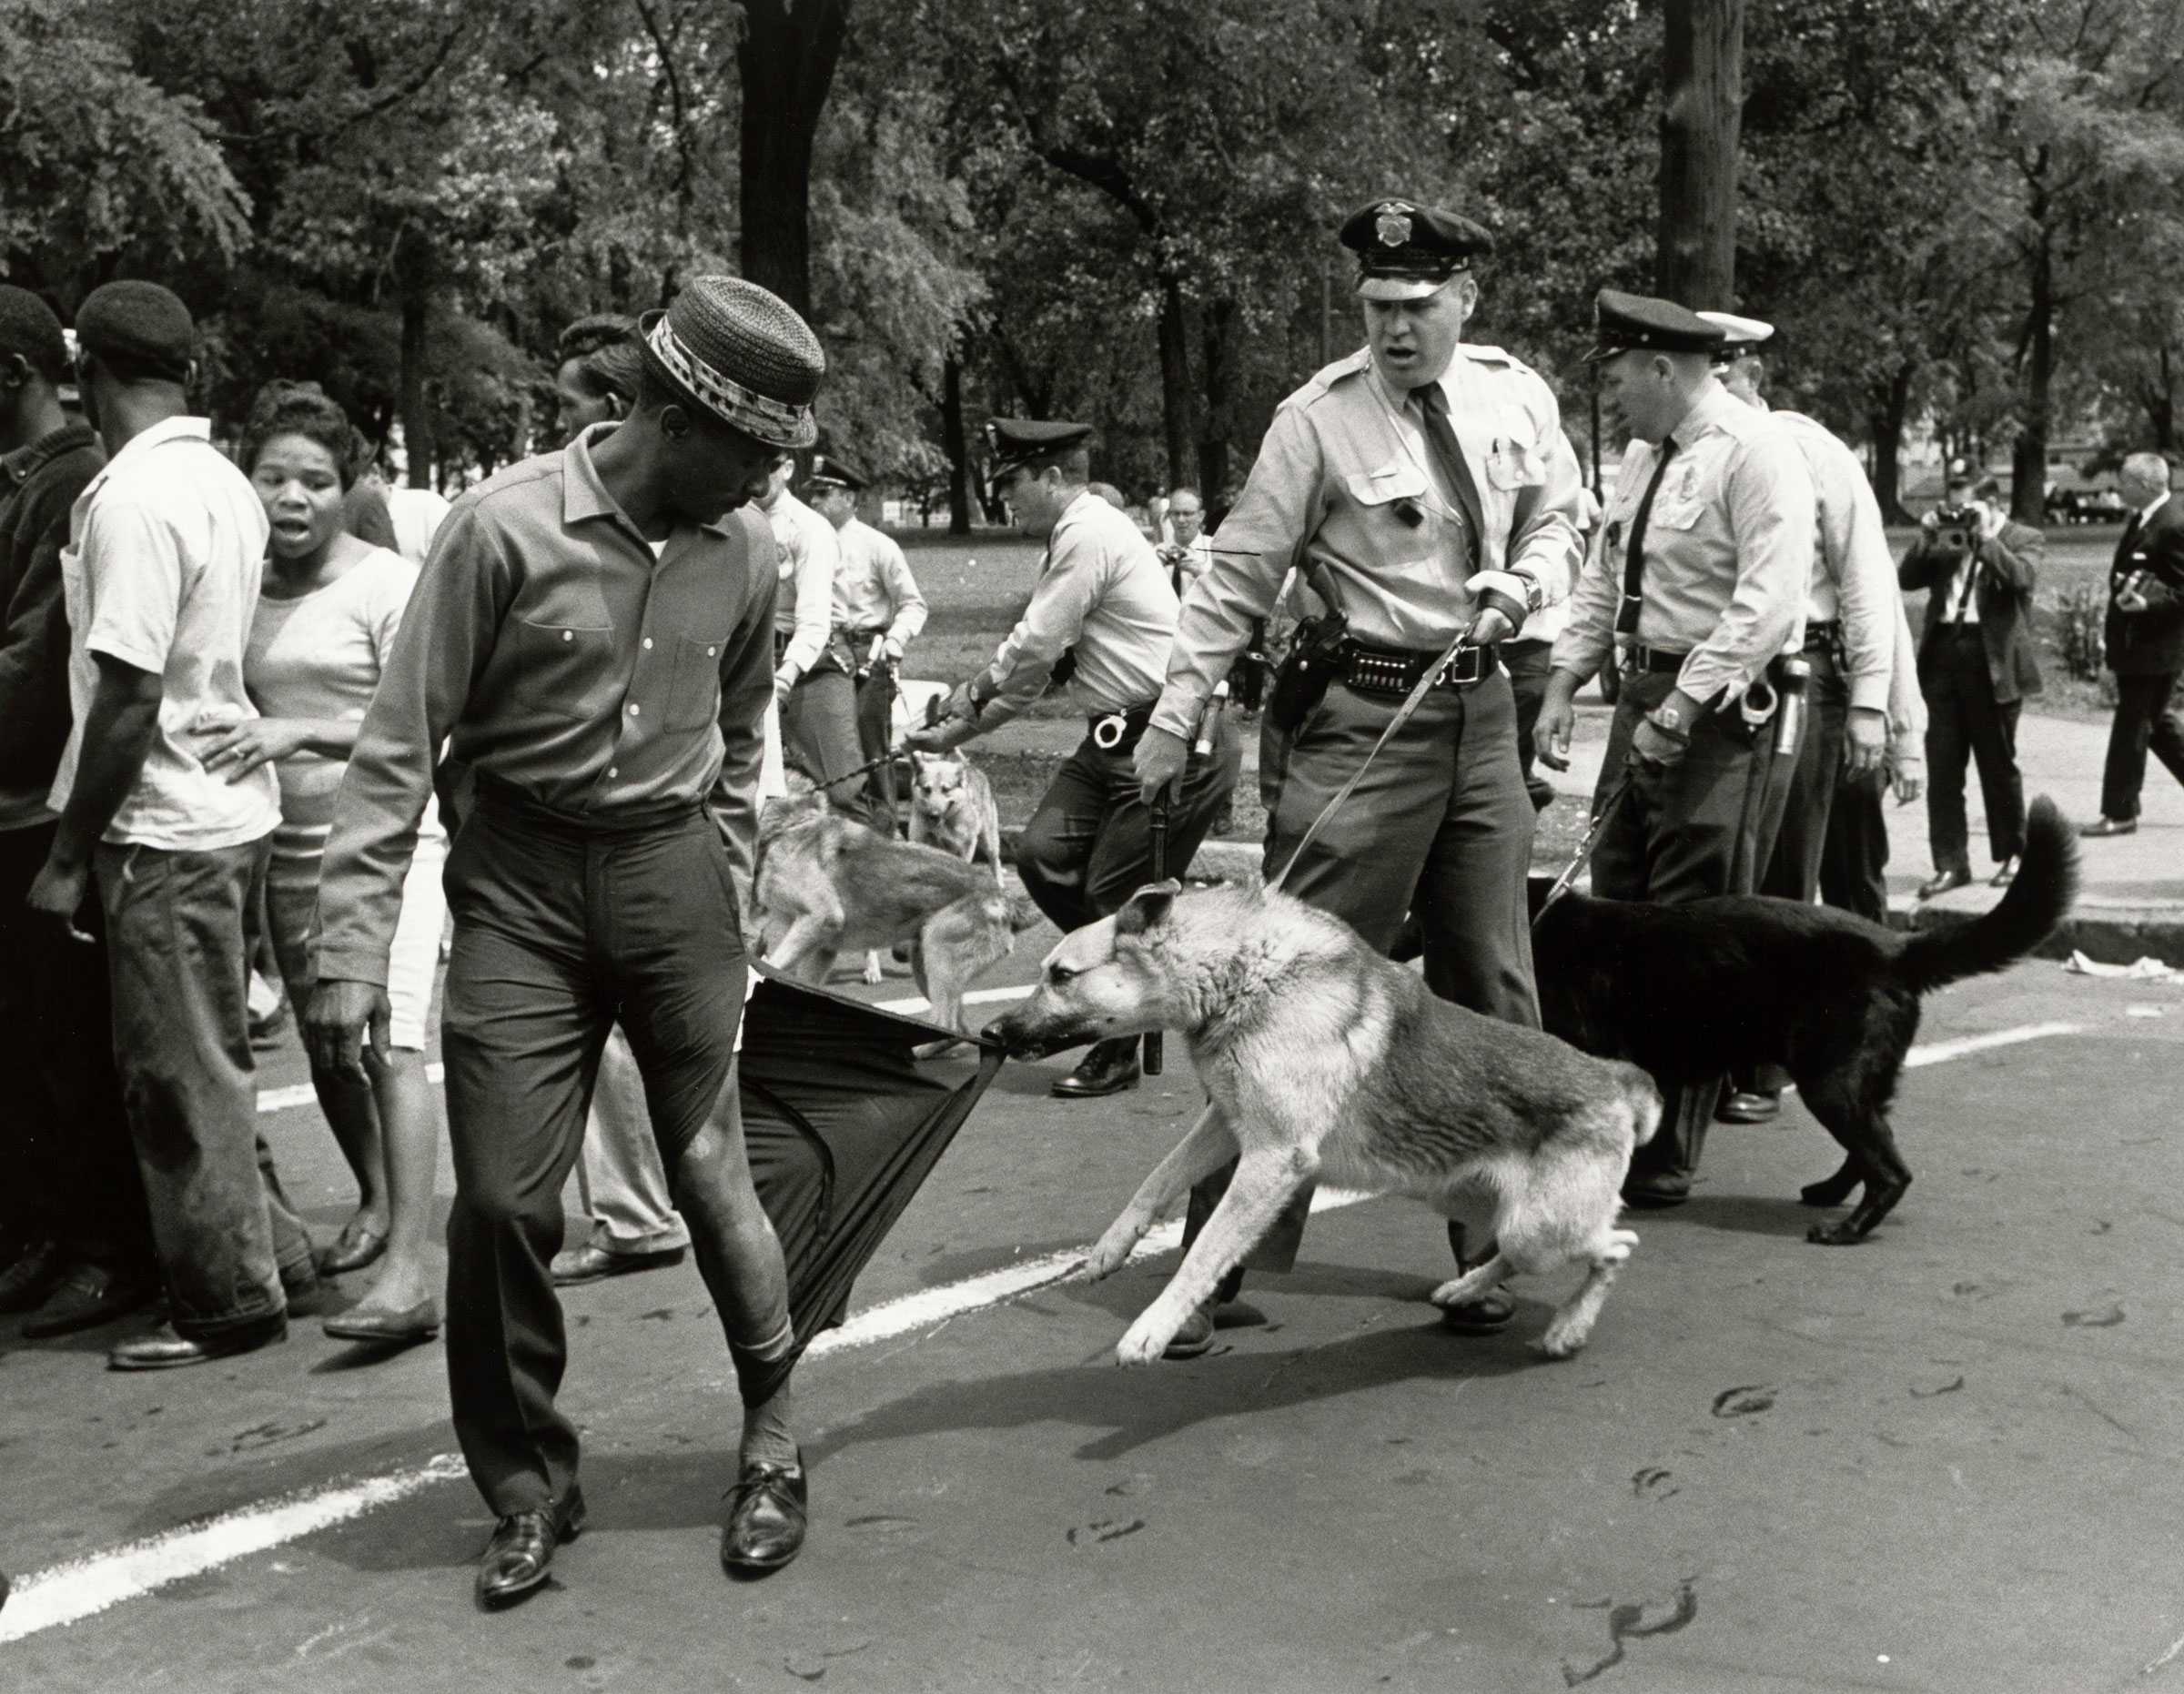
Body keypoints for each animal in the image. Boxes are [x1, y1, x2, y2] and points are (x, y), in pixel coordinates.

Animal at [755, 785, 1044, 1052]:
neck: (791, 825)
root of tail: (1004, 897)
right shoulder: (821, 948)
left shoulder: (822, 918)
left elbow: (770, 967)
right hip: (925, 962)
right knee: (958, 1027)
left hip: (938, 951)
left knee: (947, 1024)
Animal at [983, 882, 1660, 1370]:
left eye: (1061, 976)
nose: (991, 1033)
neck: (1242, 977)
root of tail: (1616, 1080)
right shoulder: (1227, 1124)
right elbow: (1155, 1181)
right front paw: (1110, 1248)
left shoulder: (1273, 1158)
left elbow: (1203, 1252)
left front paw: (1153, 1327)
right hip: (1479, 1206)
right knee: (1514, 1257)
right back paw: (1466, 1291)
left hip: (1539, 1228)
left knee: (1616, 1248)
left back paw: (1568, 1328)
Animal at [1520, 794, 2078, 1239]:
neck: (1537, 922)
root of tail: (1896, 948)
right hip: (1856, 1082)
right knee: (1871, 1150)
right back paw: (1830, 1194)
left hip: (1829, 1080)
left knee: (1891, 1170)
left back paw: (1847, 1231)